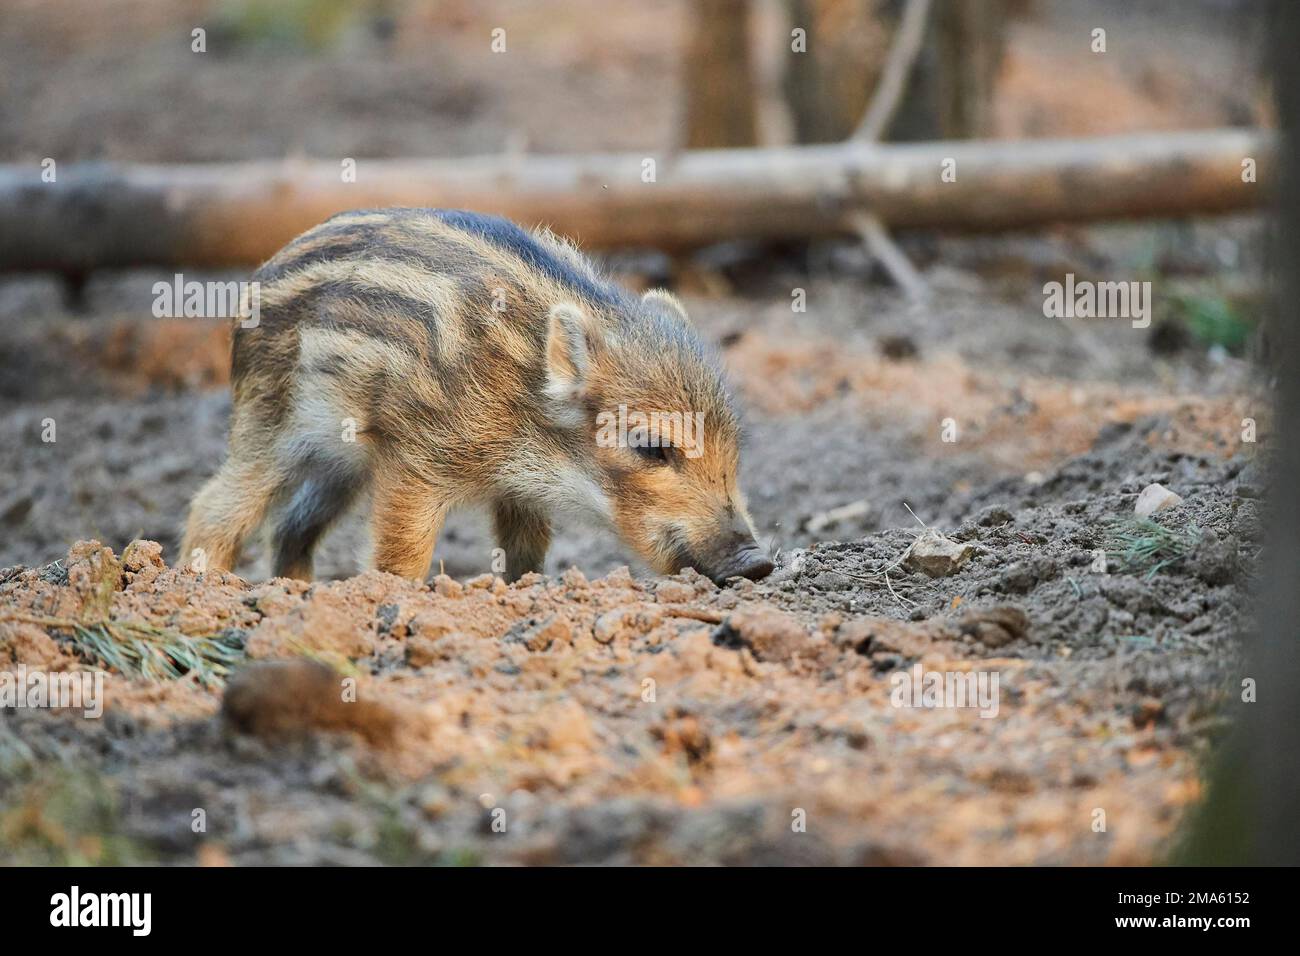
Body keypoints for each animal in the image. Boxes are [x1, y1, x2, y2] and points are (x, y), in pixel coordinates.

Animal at [181, 208, 774, 586]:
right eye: (650, 446)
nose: (758, 562)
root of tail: (261, 276)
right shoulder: (416, 459)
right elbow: (402, 551)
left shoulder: (521, 490)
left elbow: (526, 551)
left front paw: (523, 593)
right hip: (271, 421)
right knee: (216, 507)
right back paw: (203, 587)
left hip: (338, 463)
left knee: (291, 528)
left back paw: (298, 596)